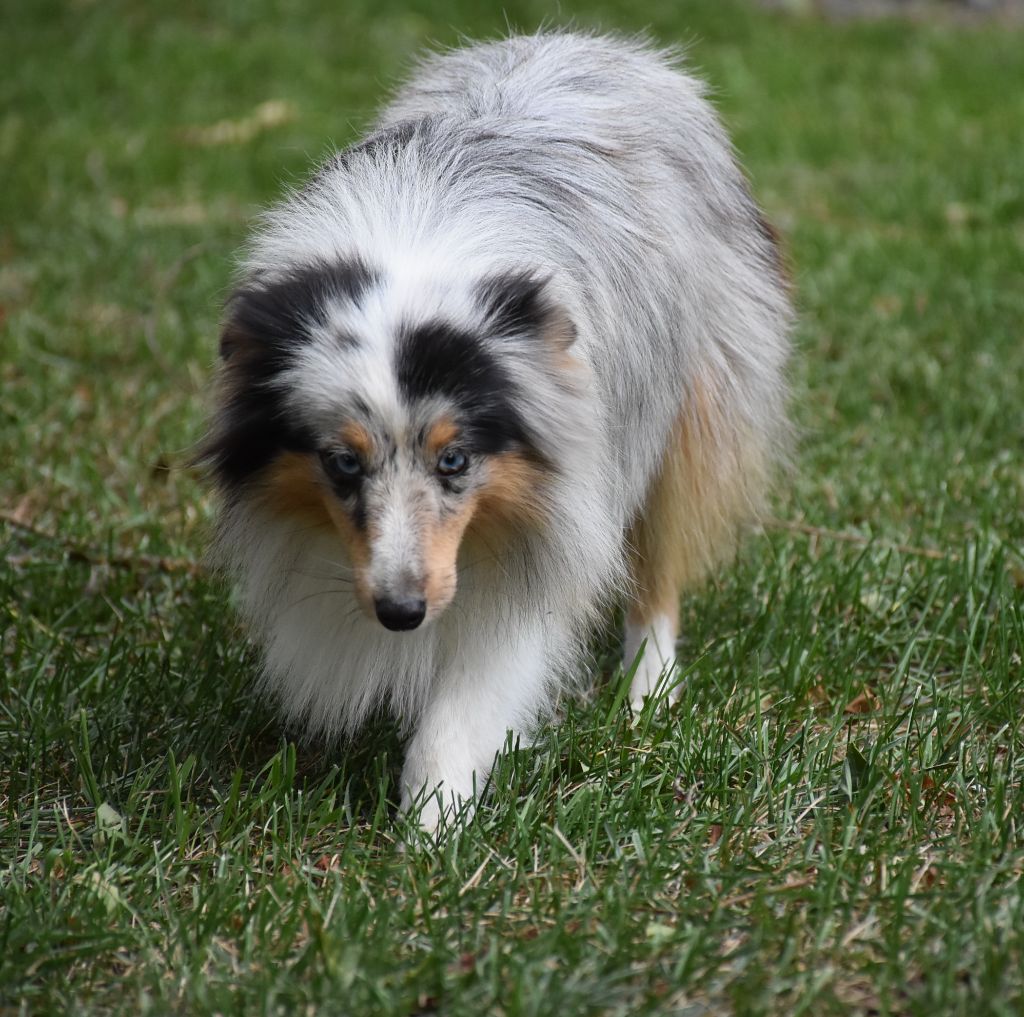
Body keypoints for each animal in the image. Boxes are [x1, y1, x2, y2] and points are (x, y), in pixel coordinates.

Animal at [201, 31, 790, 827]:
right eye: (341, 464)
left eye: (454, 460)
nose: (401, 613)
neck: (415, 252)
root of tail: (595, 41)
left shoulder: (557, 517)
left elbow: (474, 691)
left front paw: (431, 823)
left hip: (689, 401)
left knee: (658, 559)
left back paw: (649, 693)